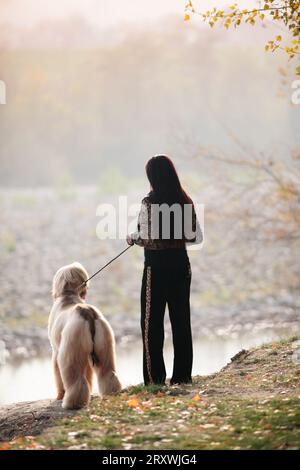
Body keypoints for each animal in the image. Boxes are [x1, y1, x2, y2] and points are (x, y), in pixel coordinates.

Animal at [48, 260, 121, 408]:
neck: (68, 296)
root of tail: (88, 313)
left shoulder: (56, 351)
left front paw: (59, 396)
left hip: (71, 350)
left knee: (76, 380)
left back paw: (72, 403)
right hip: (104, 345)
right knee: (108, 372)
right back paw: (111, 393)